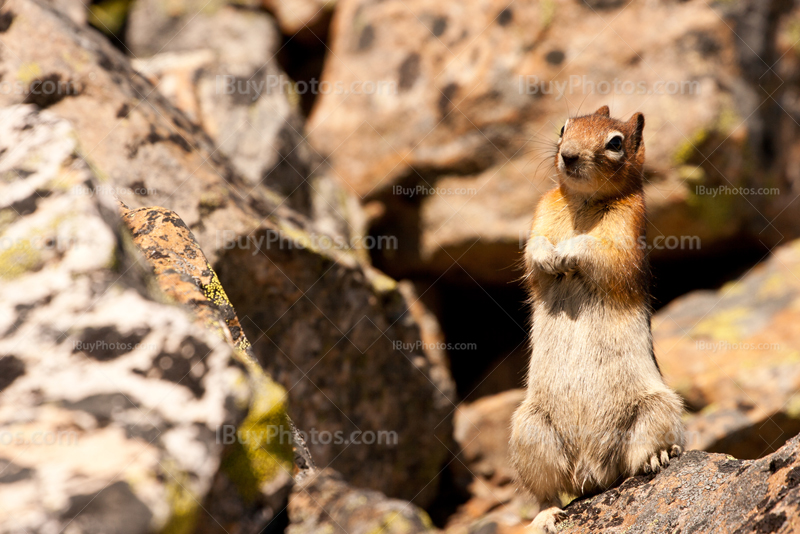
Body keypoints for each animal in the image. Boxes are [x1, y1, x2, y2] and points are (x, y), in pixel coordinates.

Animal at [510, 107, 684, 532]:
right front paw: (549, 255)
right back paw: (546, 516)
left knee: (637, 460)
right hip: (529, 430)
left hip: (657, 410)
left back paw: (657, 458)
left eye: (615, 142)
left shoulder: (626, 234)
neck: (583, 201)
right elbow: (533, 252)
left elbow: (597, 249)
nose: (568, 155)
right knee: (547, 491)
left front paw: (568, 251)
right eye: (563, 127)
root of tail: (593, 471)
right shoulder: (541, 213)